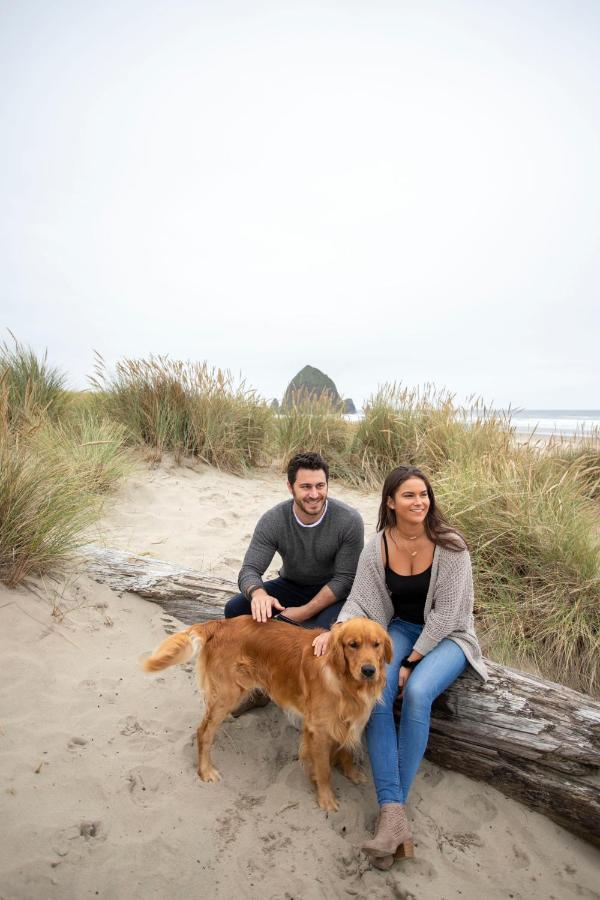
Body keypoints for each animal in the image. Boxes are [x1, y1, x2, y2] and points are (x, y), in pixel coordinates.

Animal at [142, 616, 392, 812]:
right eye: (353, 645)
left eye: (376, 645)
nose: (369, 671)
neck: (345, 681)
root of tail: (221, 623)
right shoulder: (318, 730)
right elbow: (323, 770)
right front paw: (326, 800)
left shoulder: (347, 721)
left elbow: (346, 750)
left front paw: (351, 773)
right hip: (226, 695)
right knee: (203, 732)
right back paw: (205, 770)